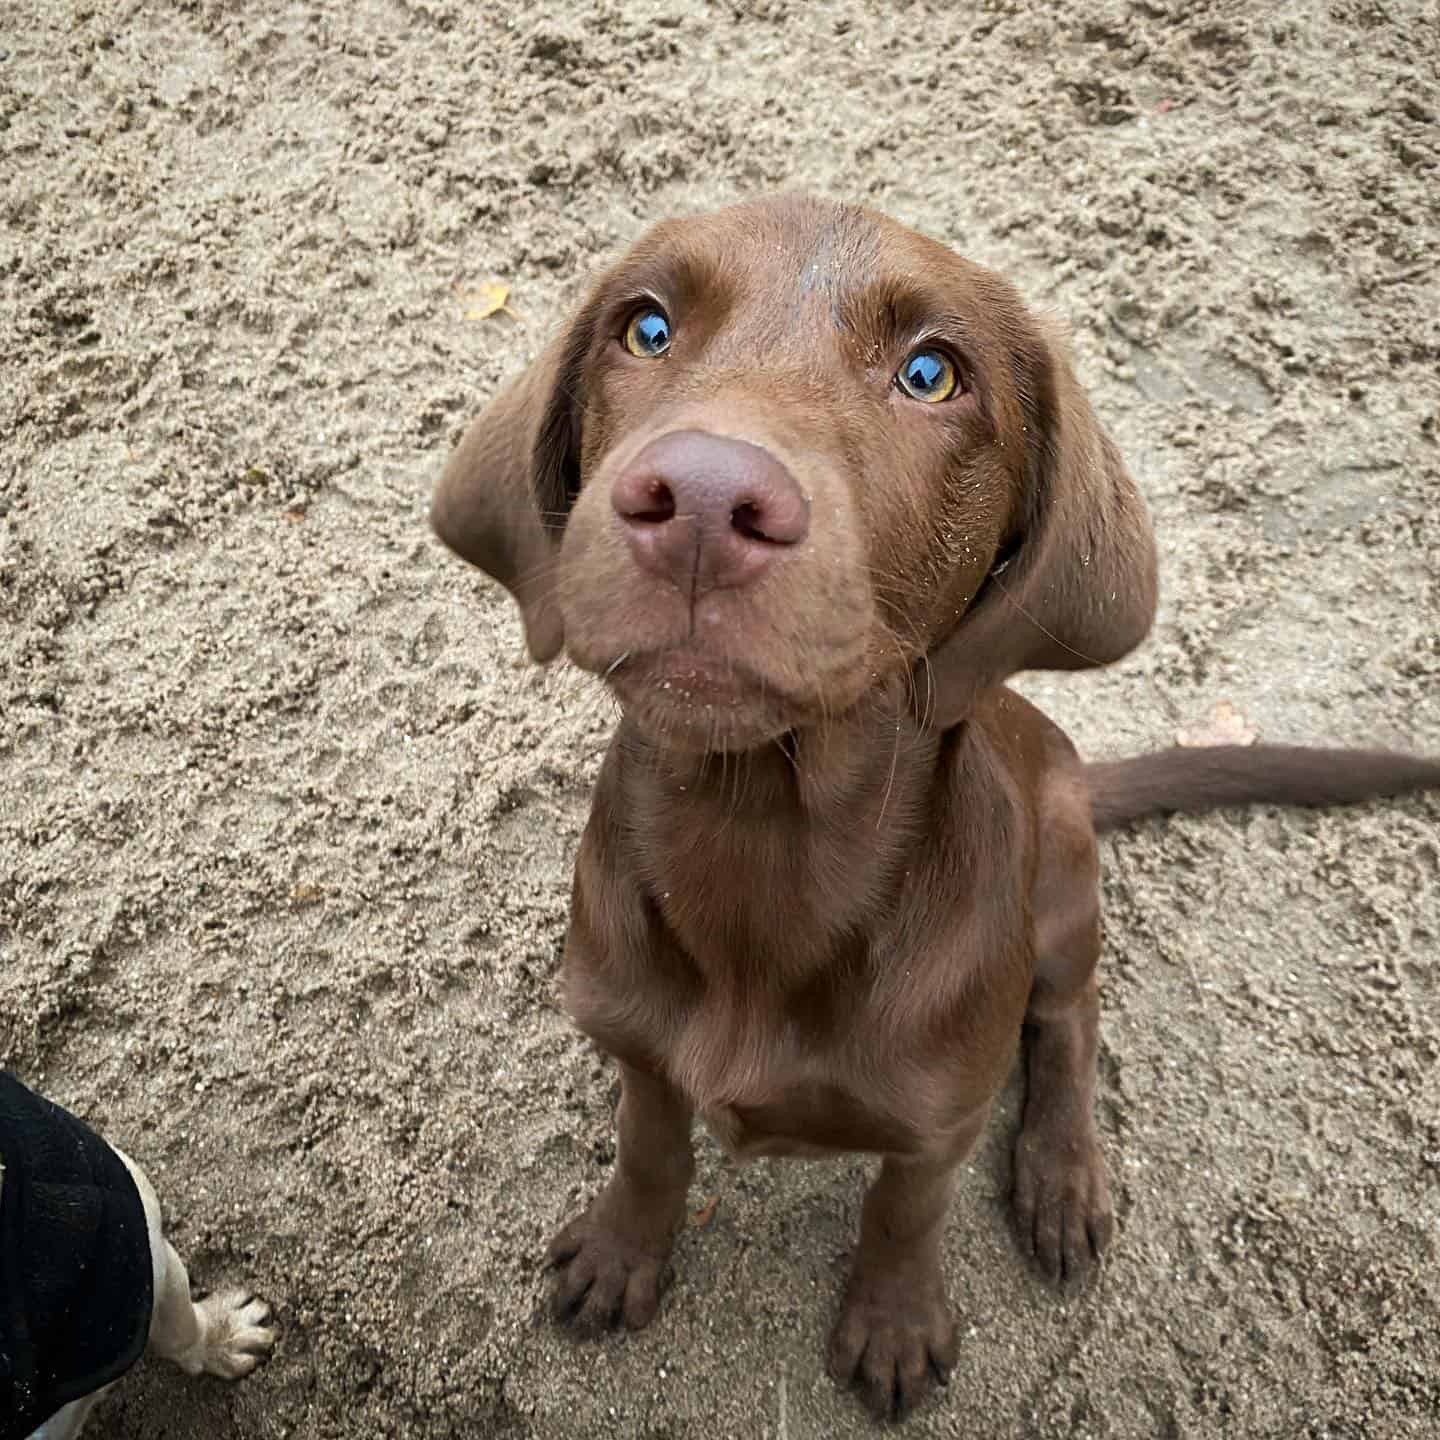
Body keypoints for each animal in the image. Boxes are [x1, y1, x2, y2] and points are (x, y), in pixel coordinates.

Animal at [429, 191, 1440, 1416]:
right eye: (647, 329)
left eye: (930, 374)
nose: (704, 503)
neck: (761, 830)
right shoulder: (635, 1042)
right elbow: (651, 1142)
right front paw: (626, 1250)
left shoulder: (937, 1118)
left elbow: (903, 1208)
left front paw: (896, 1322)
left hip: (1064, 882)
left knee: (1070, 1017)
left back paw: (1061, 1178)